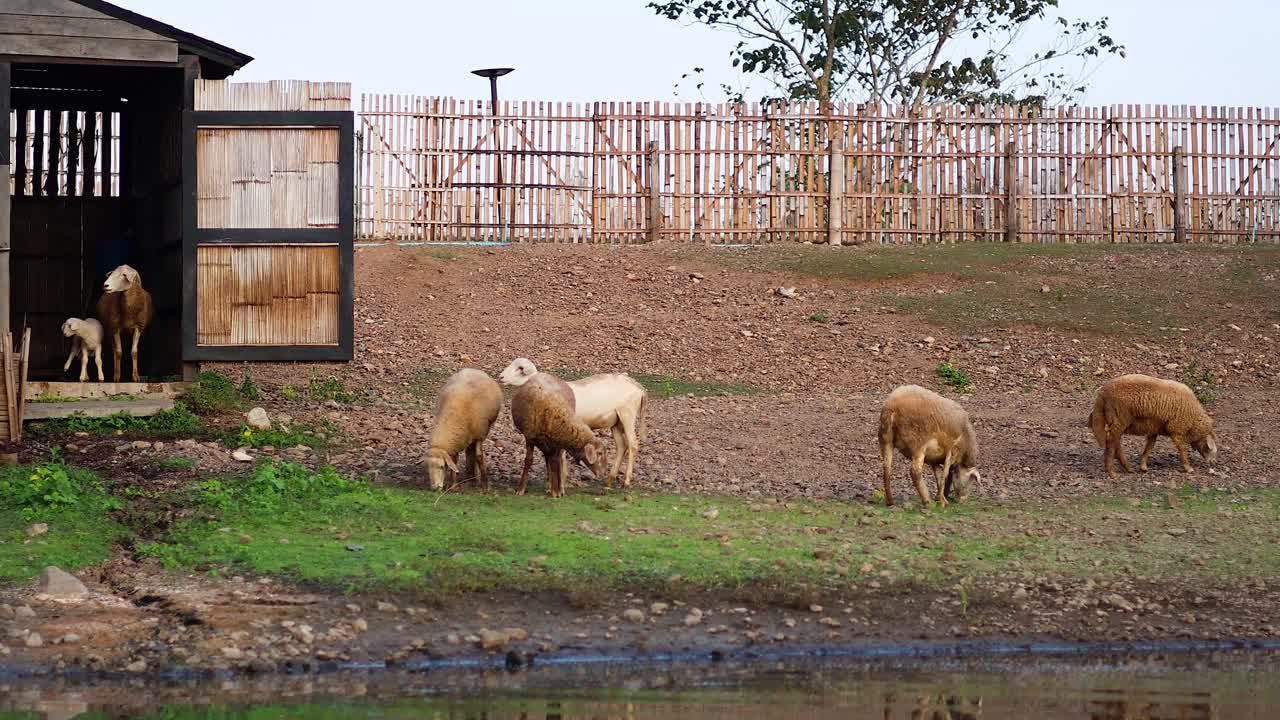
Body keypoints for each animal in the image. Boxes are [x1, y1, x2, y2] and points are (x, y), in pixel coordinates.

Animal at [494, 356, 645, 486]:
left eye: (520, 368)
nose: (500, 377)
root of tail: (638, 387)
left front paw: (561, 478)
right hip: (616, 422)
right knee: (622, 446)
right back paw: (609, 480)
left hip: (628, 415)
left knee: (633, 444)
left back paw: (626, 481)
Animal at [1090, 371, 1218, 479]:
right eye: (1209, 448)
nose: (1213, 463)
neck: (1193, 420)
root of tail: (1102, 393)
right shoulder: (1176, 429)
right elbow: (1182, 449)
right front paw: (1188, 468)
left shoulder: (1154, 429)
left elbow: (1149, 448)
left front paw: (1143, 466)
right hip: (1119, 418)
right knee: (1111, 442)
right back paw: (1112, 472)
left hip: (1118, 421)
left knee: (1115, 443)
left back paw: (1128, 468)